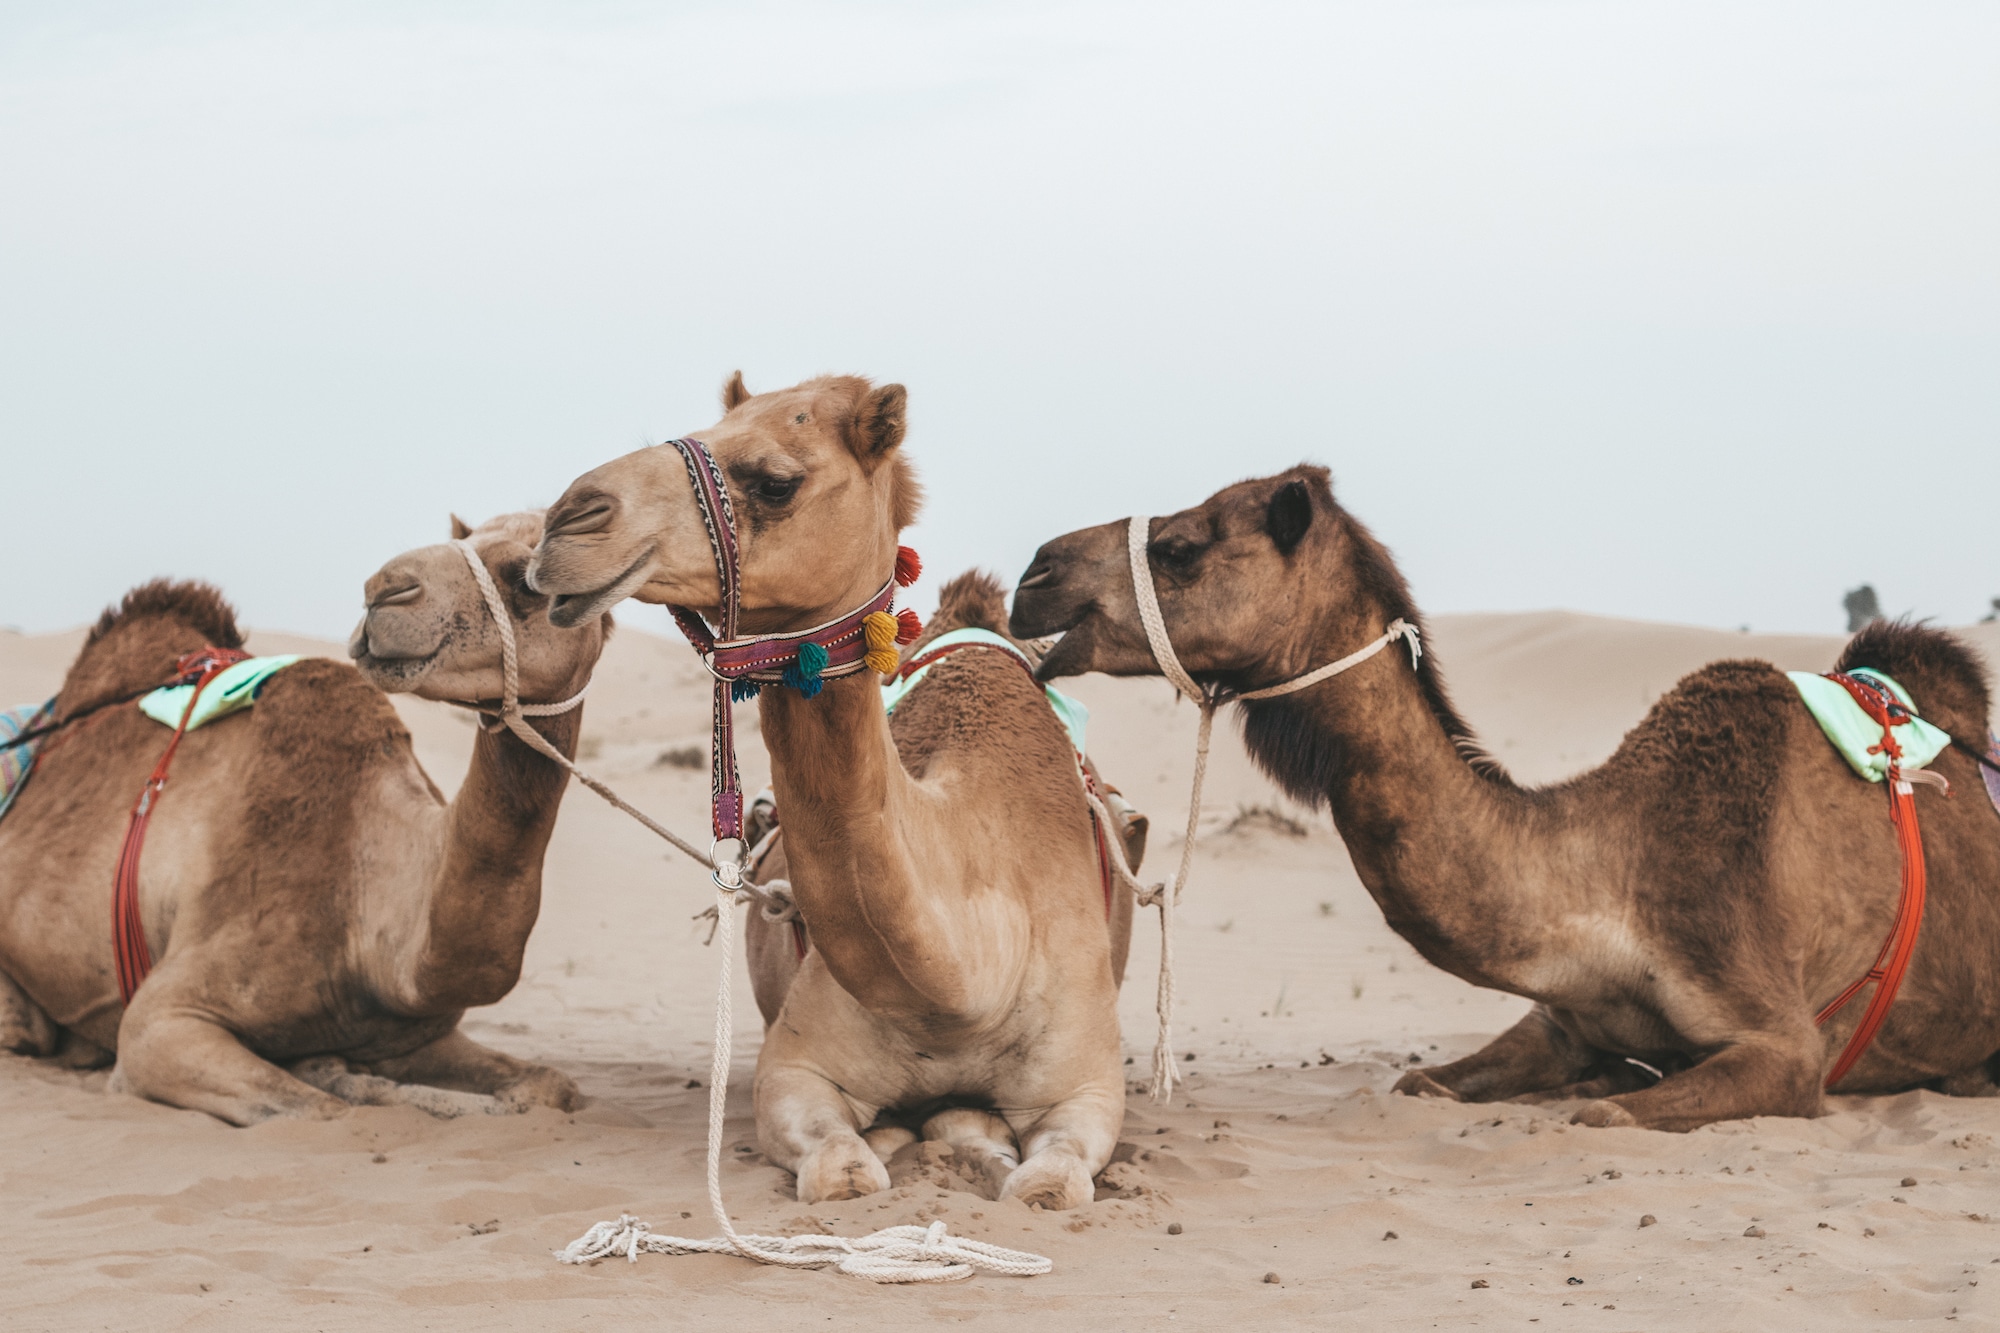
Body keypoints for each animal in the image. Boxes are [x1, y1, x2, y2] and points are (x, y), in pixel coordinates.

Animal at [1, 508, 608, 1120]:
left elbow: (550, 1087)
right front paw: (334, 1077)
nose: (383, 591)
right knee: (25, 1031)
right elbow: (324, 1111)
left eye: (526, 580)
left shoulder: (412, 1034)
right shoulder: (163, 1020)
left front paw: (341, 1070)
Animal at [532, 370, 1144, 1200]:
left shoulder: (1086, 1087)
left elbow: (1044, 1184)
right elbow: (842, 1170)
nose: (565, 522)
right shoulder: (793, 1070)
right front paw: (911, 1139)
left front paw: (990, 1152)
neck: (962, 990)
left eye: (775, 481)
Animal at [1008, 462, 2000, 1128]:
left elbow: (1612, 1113)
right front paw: (1598, 1073)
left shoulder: (1785, 1043)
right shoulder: (1562, 1016)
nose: (1034, 573)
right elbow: (1422, 1082)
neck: (1611, 877)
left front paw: (1609, 1089)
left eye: (1180, 547)